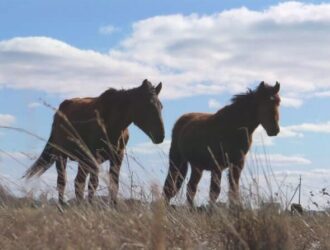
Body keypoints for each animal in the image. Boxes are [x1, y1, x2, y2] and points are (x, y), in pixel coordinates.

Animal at [24, 79, 165, 204]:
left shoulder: (117, 158)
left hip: (82, 161)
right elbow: (93, 184)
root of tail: (58, 114)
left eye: (161, 106)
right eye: (147, 105)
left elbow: (113, 185)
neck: (111, 122)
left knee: (78, 183)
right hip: (62, 156)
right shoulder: (94, 158)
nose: (160, 136)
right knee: (63, 182)